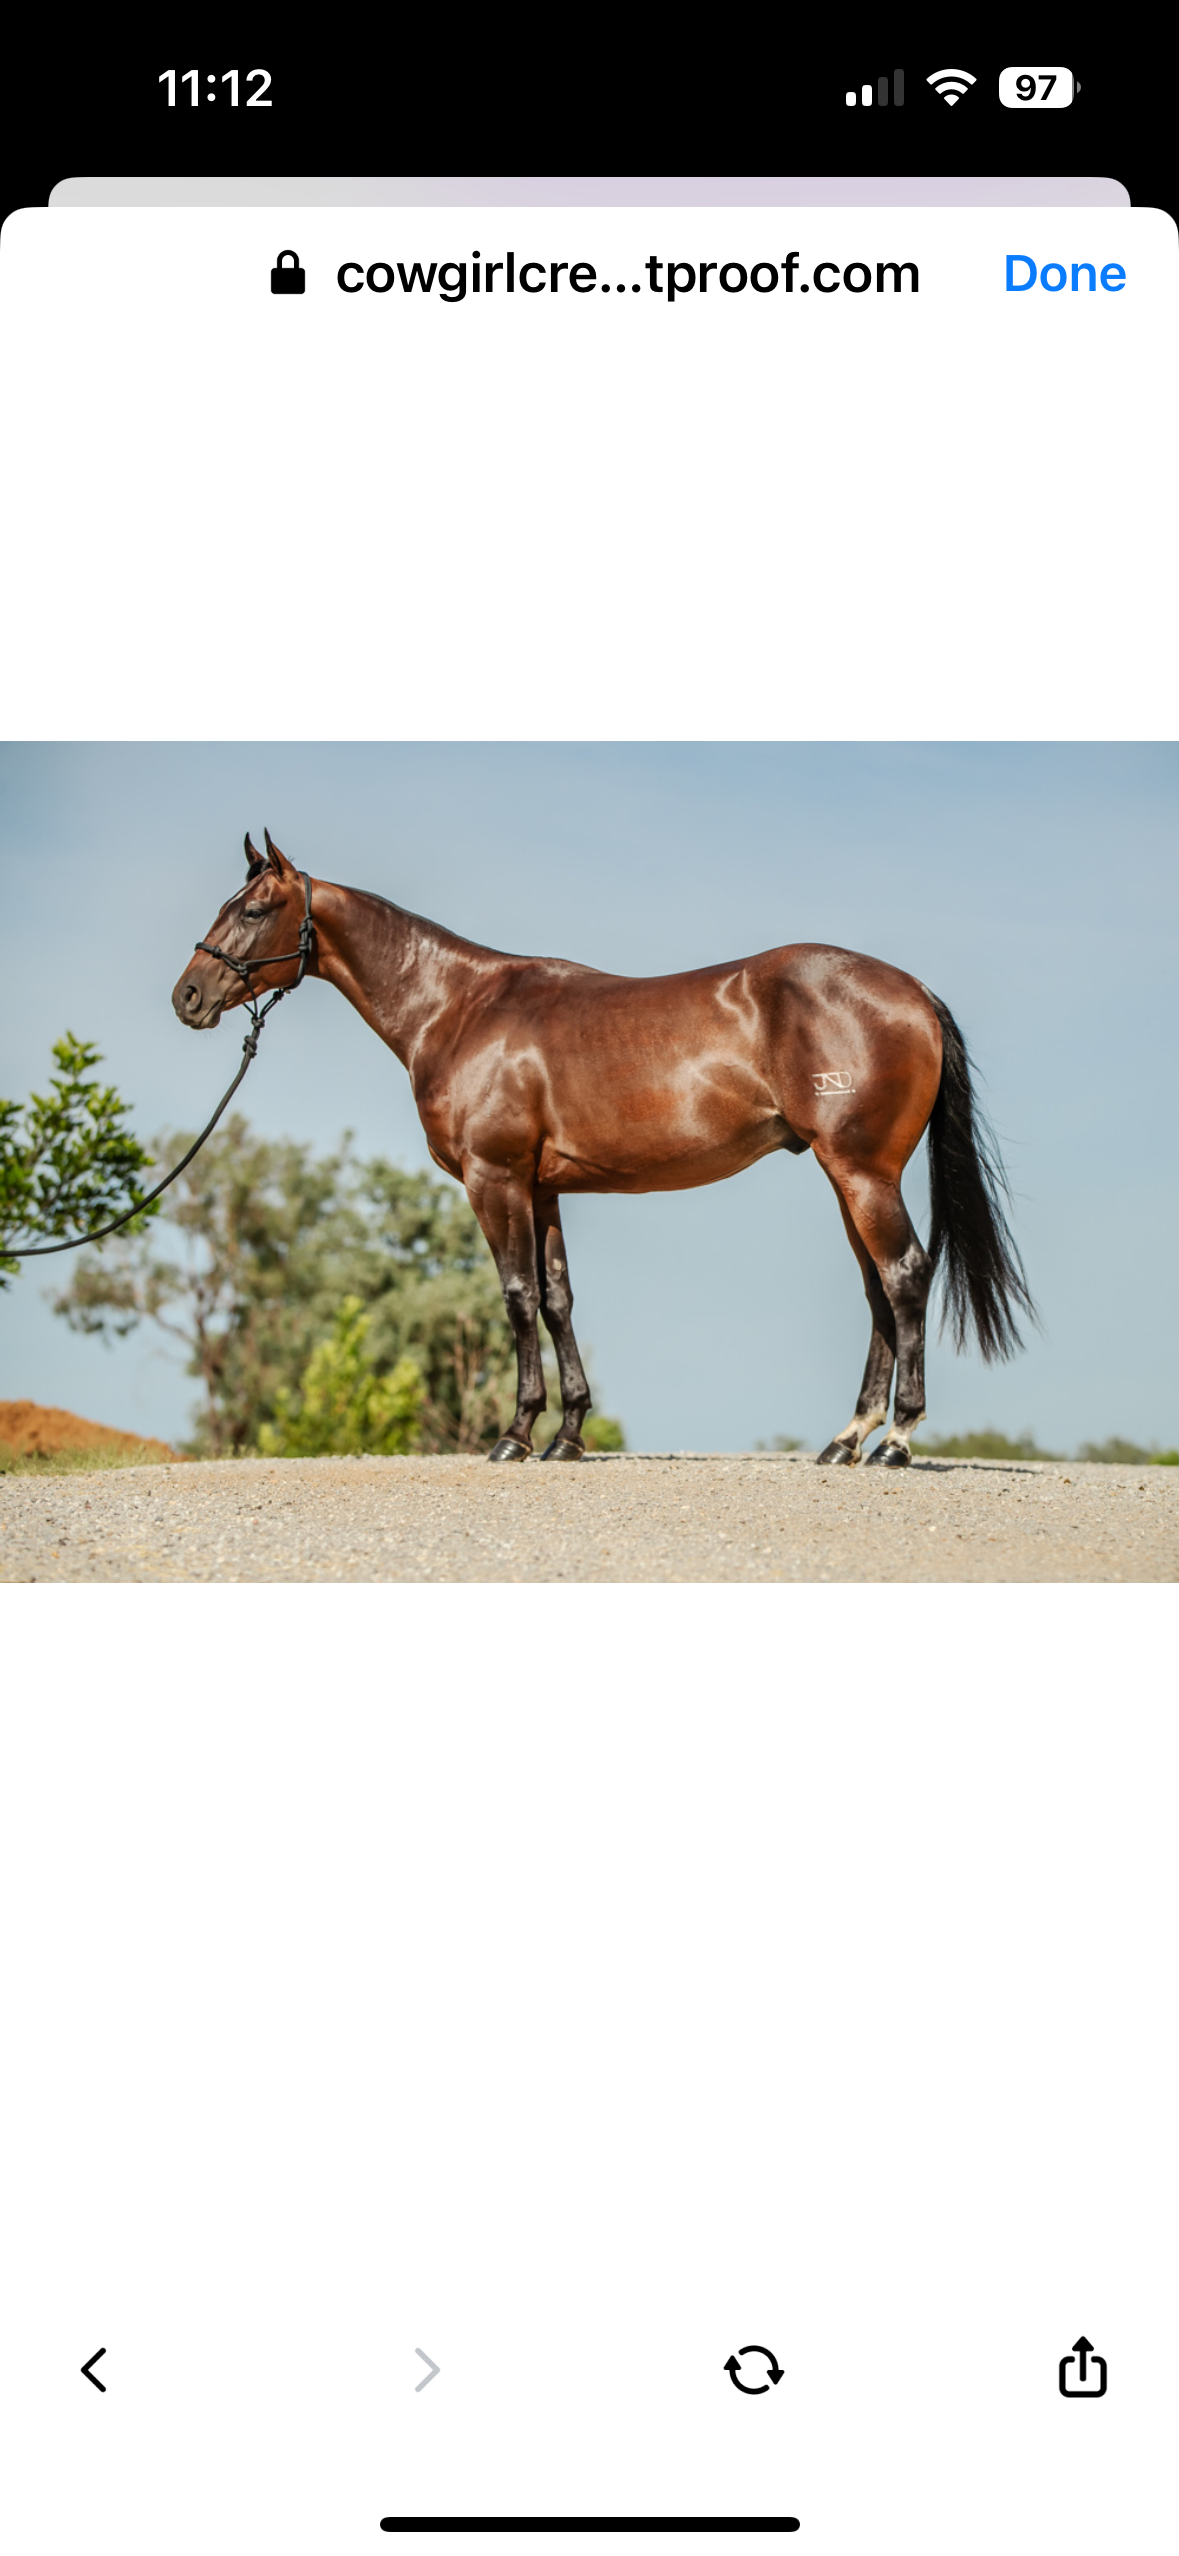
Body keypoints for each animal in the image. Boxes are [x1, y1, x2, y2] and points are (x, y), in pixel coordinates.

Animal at [173, 831, 1034, 1467]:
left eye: (254, 908)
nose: (187, 996)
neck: (458, 1008)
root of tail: (911, 991)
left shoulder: (493, 1180)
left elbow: (516, 1297)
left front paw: (515, 1436)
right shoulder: (542, 1187)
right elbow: (557, 1300)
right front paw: (567, 1436)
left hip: (861, 1173)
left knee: (904, 1275)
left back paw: (895, 1441)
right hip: (849, 1178)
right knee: (877, 1292)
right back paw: (844, 1440)